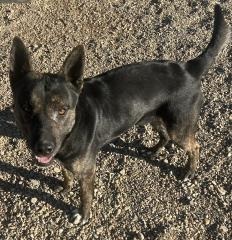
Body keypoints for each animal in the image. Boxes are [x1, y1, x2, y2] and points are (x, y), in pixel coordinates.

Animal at [9, 4, 230, 225]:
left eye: (62, 110)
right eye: (26, 107)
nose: (43, 148)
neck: (72, 128)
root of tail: (187, 68)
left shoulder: (87, 172)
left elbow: (85, 196)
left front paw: (83, 215)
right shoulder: (63, 159)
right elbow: (65, 173)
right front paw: (65, 187)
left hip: (179, 127)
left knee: (195, 146)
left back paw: (189, 171)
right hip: (155, 116)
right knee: (164, 135)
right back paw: (153, 150)